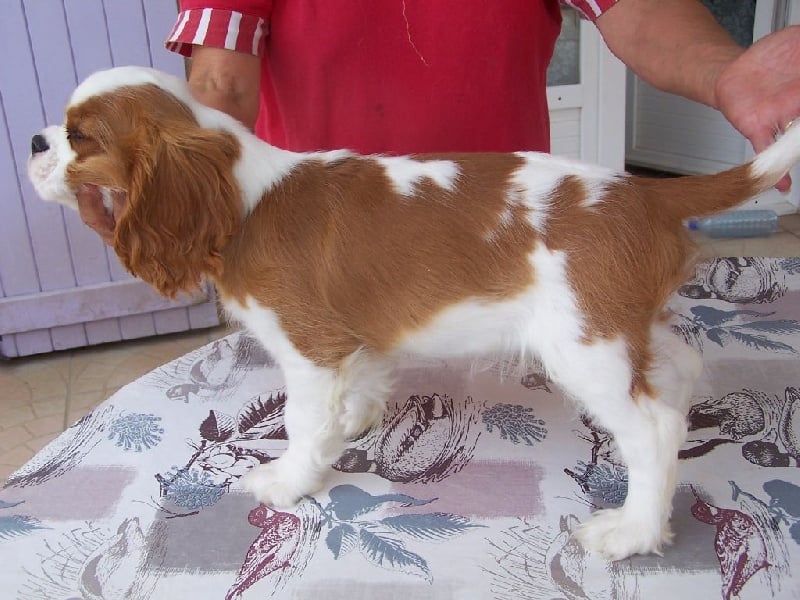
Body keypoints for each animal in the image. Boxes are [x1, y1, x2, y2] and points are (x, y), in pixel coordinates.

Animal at [27, 66, 800, 560]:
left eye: (80, 136)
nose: (34, 141)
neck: (241, 194)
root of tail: (645, 192)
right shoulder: (349, 340)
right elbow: (360, 386)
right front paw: (351, 425)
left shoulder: (308, 347)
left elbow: (302, 422)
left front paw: (289, 481)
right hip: (622, 325)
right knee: (681, 366)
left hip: (584, 345)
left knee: (653, 426)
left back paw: (631, 532)